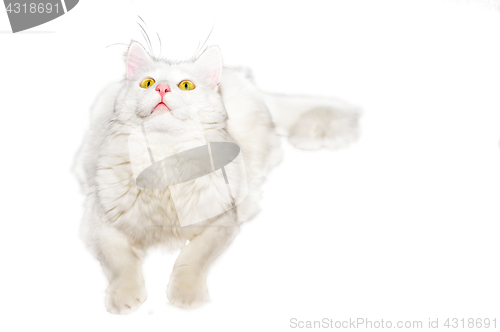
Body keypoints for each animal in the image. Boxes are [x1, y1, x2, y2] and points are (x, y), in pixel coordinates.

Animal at [75, 41, 360, 314]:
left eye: (186, 86)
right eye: (148, 83)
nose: (163, 89)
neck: (164, 160)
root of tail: (248, 83)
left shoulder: (222, 221)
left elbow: (192, 257)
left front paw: (185, 295)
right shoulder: (101, 226)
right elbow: (121, 265)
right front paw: (123, 299)